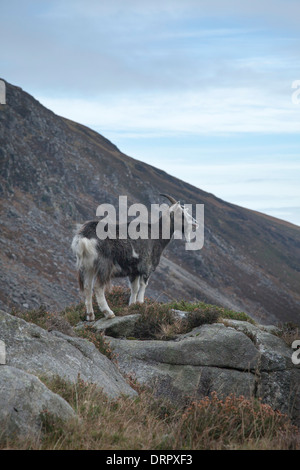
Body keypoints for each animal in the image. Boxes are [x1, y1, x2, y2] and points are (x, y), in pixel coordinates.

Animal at [70, 193, 197, 322]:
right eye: (182, 213)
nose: (195, 223)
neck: (156, 235)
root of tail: (83, 238)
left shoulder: (134, 271)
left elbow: (134, 288)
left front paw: (132, 305)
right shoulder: (146, 266)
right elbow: (143, 286)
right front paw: (141, 303)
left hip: (87, 266)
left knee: (87, 287)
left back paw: (90, 316)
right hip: (104, 265)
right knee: (98, 287)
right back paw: (109, 313)